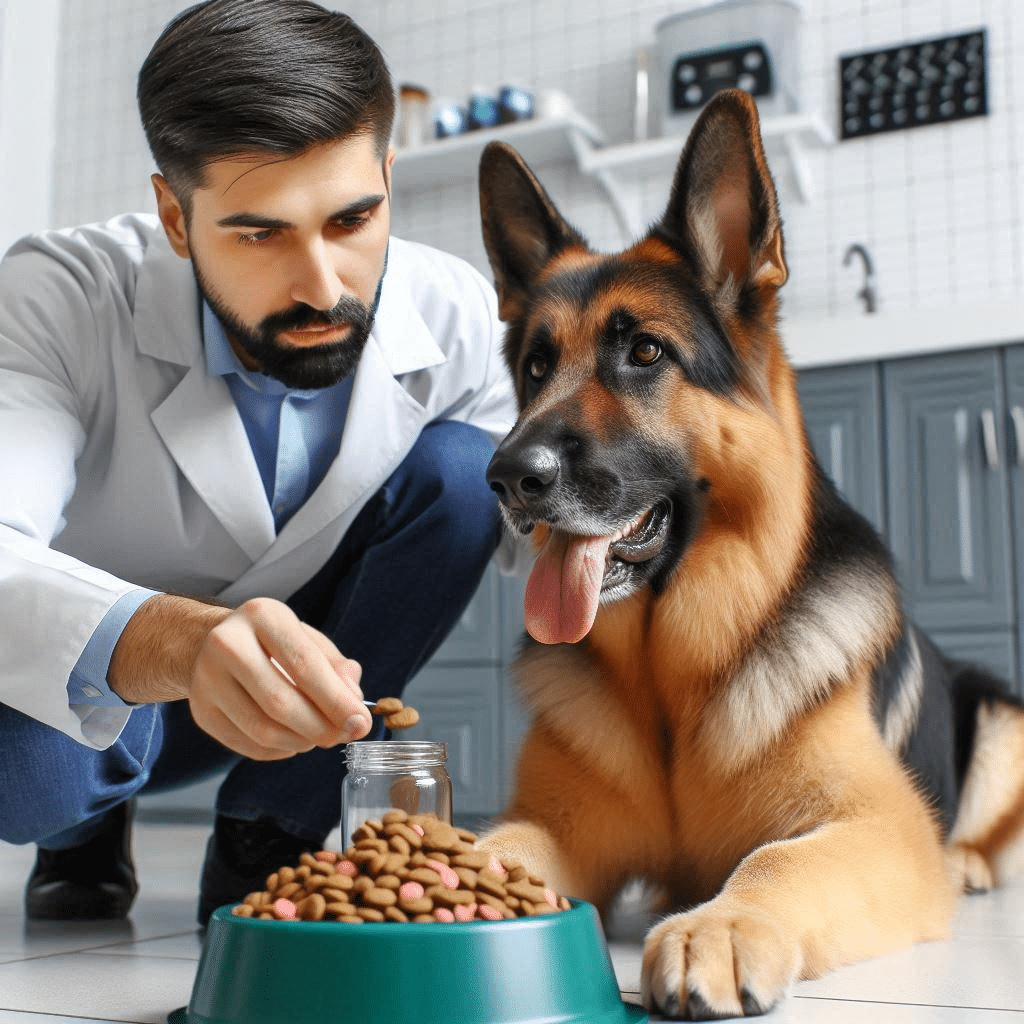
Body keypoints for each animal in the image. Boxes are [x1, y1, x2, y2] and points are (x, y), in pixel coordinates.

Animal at [475, 92, 1024, 1019]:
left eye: (645, 352)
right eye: (537, 366)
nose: (510, 477)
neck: (671, 676)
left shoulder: (877, 826)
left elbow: (777, 858)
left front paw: (723, 926)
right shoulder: (551, 824)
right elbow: (487, 843)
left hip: (998, 715)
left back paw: (968, 864)